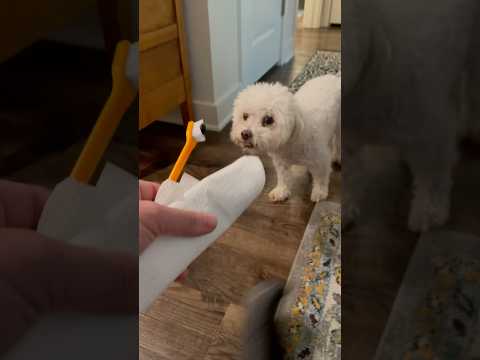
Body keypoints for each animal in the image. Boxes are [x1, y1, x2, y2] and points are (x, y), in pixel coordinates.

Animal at [230, 74, 340, 202]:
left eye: (268, 119)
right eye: (245, 116)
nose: (245, 134)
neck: (289, 144)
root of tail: (333, 77)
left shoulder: (321, 160)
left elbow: (321, 177)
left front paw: (319, 192)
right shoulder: (281, 162)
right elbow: (283, 177)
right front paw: (281, 191)